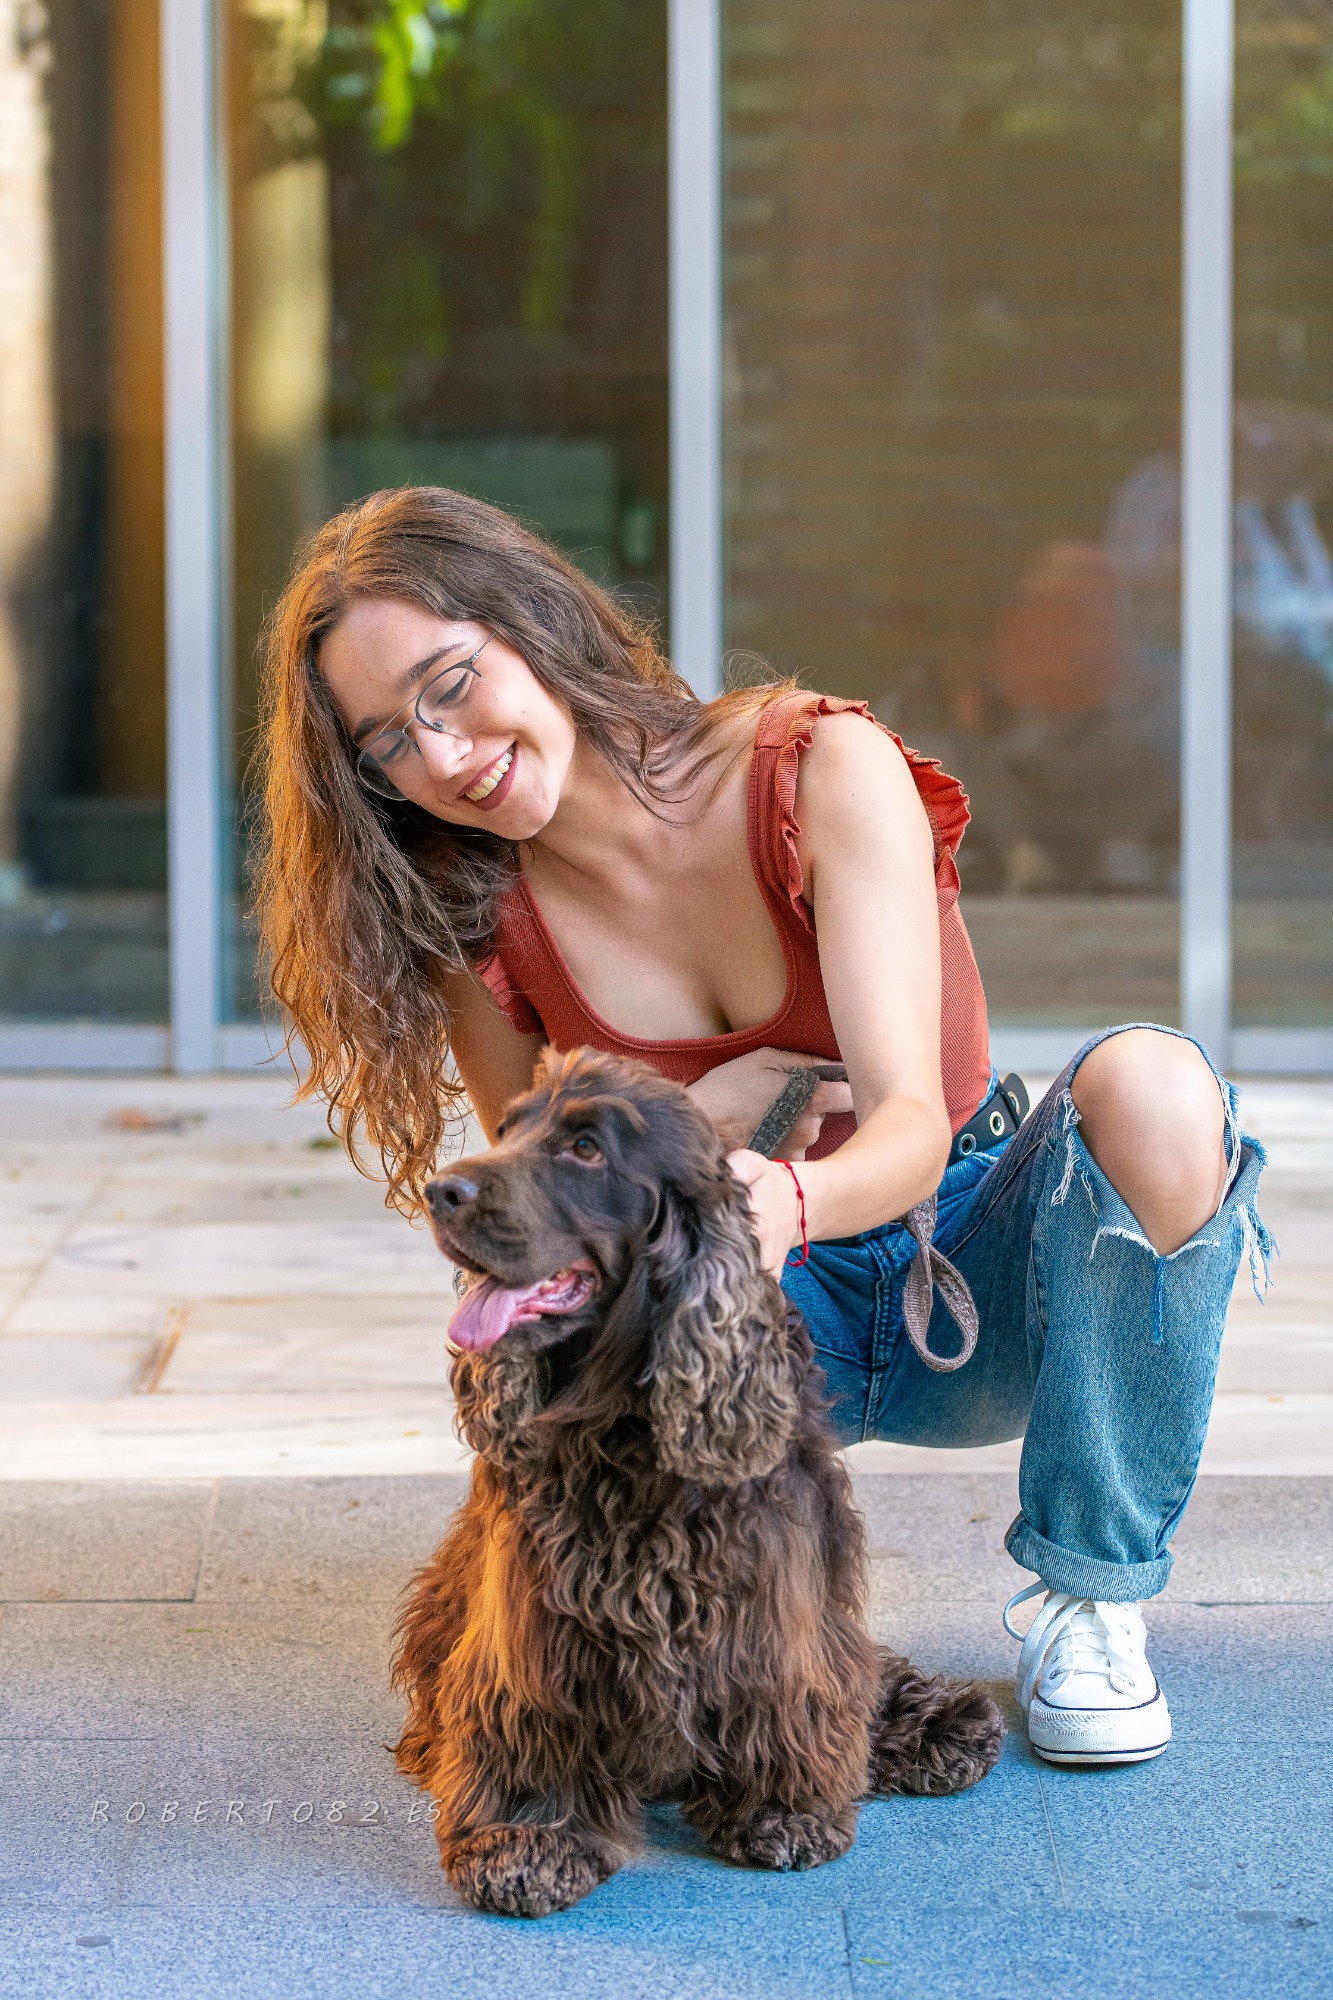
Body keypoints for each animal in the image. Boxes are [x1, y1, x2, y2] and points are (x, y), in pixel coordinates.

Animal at [393, 1047, 1003, 1918]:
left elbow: (786, 1688)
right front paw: (527, 1837)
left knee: (859, 1673)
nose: (442, 1191)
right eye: (507, 1130)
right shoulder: (534, 1606)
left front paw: (782, 1809)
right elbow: (531, 1712)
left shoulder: (774, 1586)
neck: (624, 1423)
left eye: (586, 1149)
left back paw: (937, 1727)